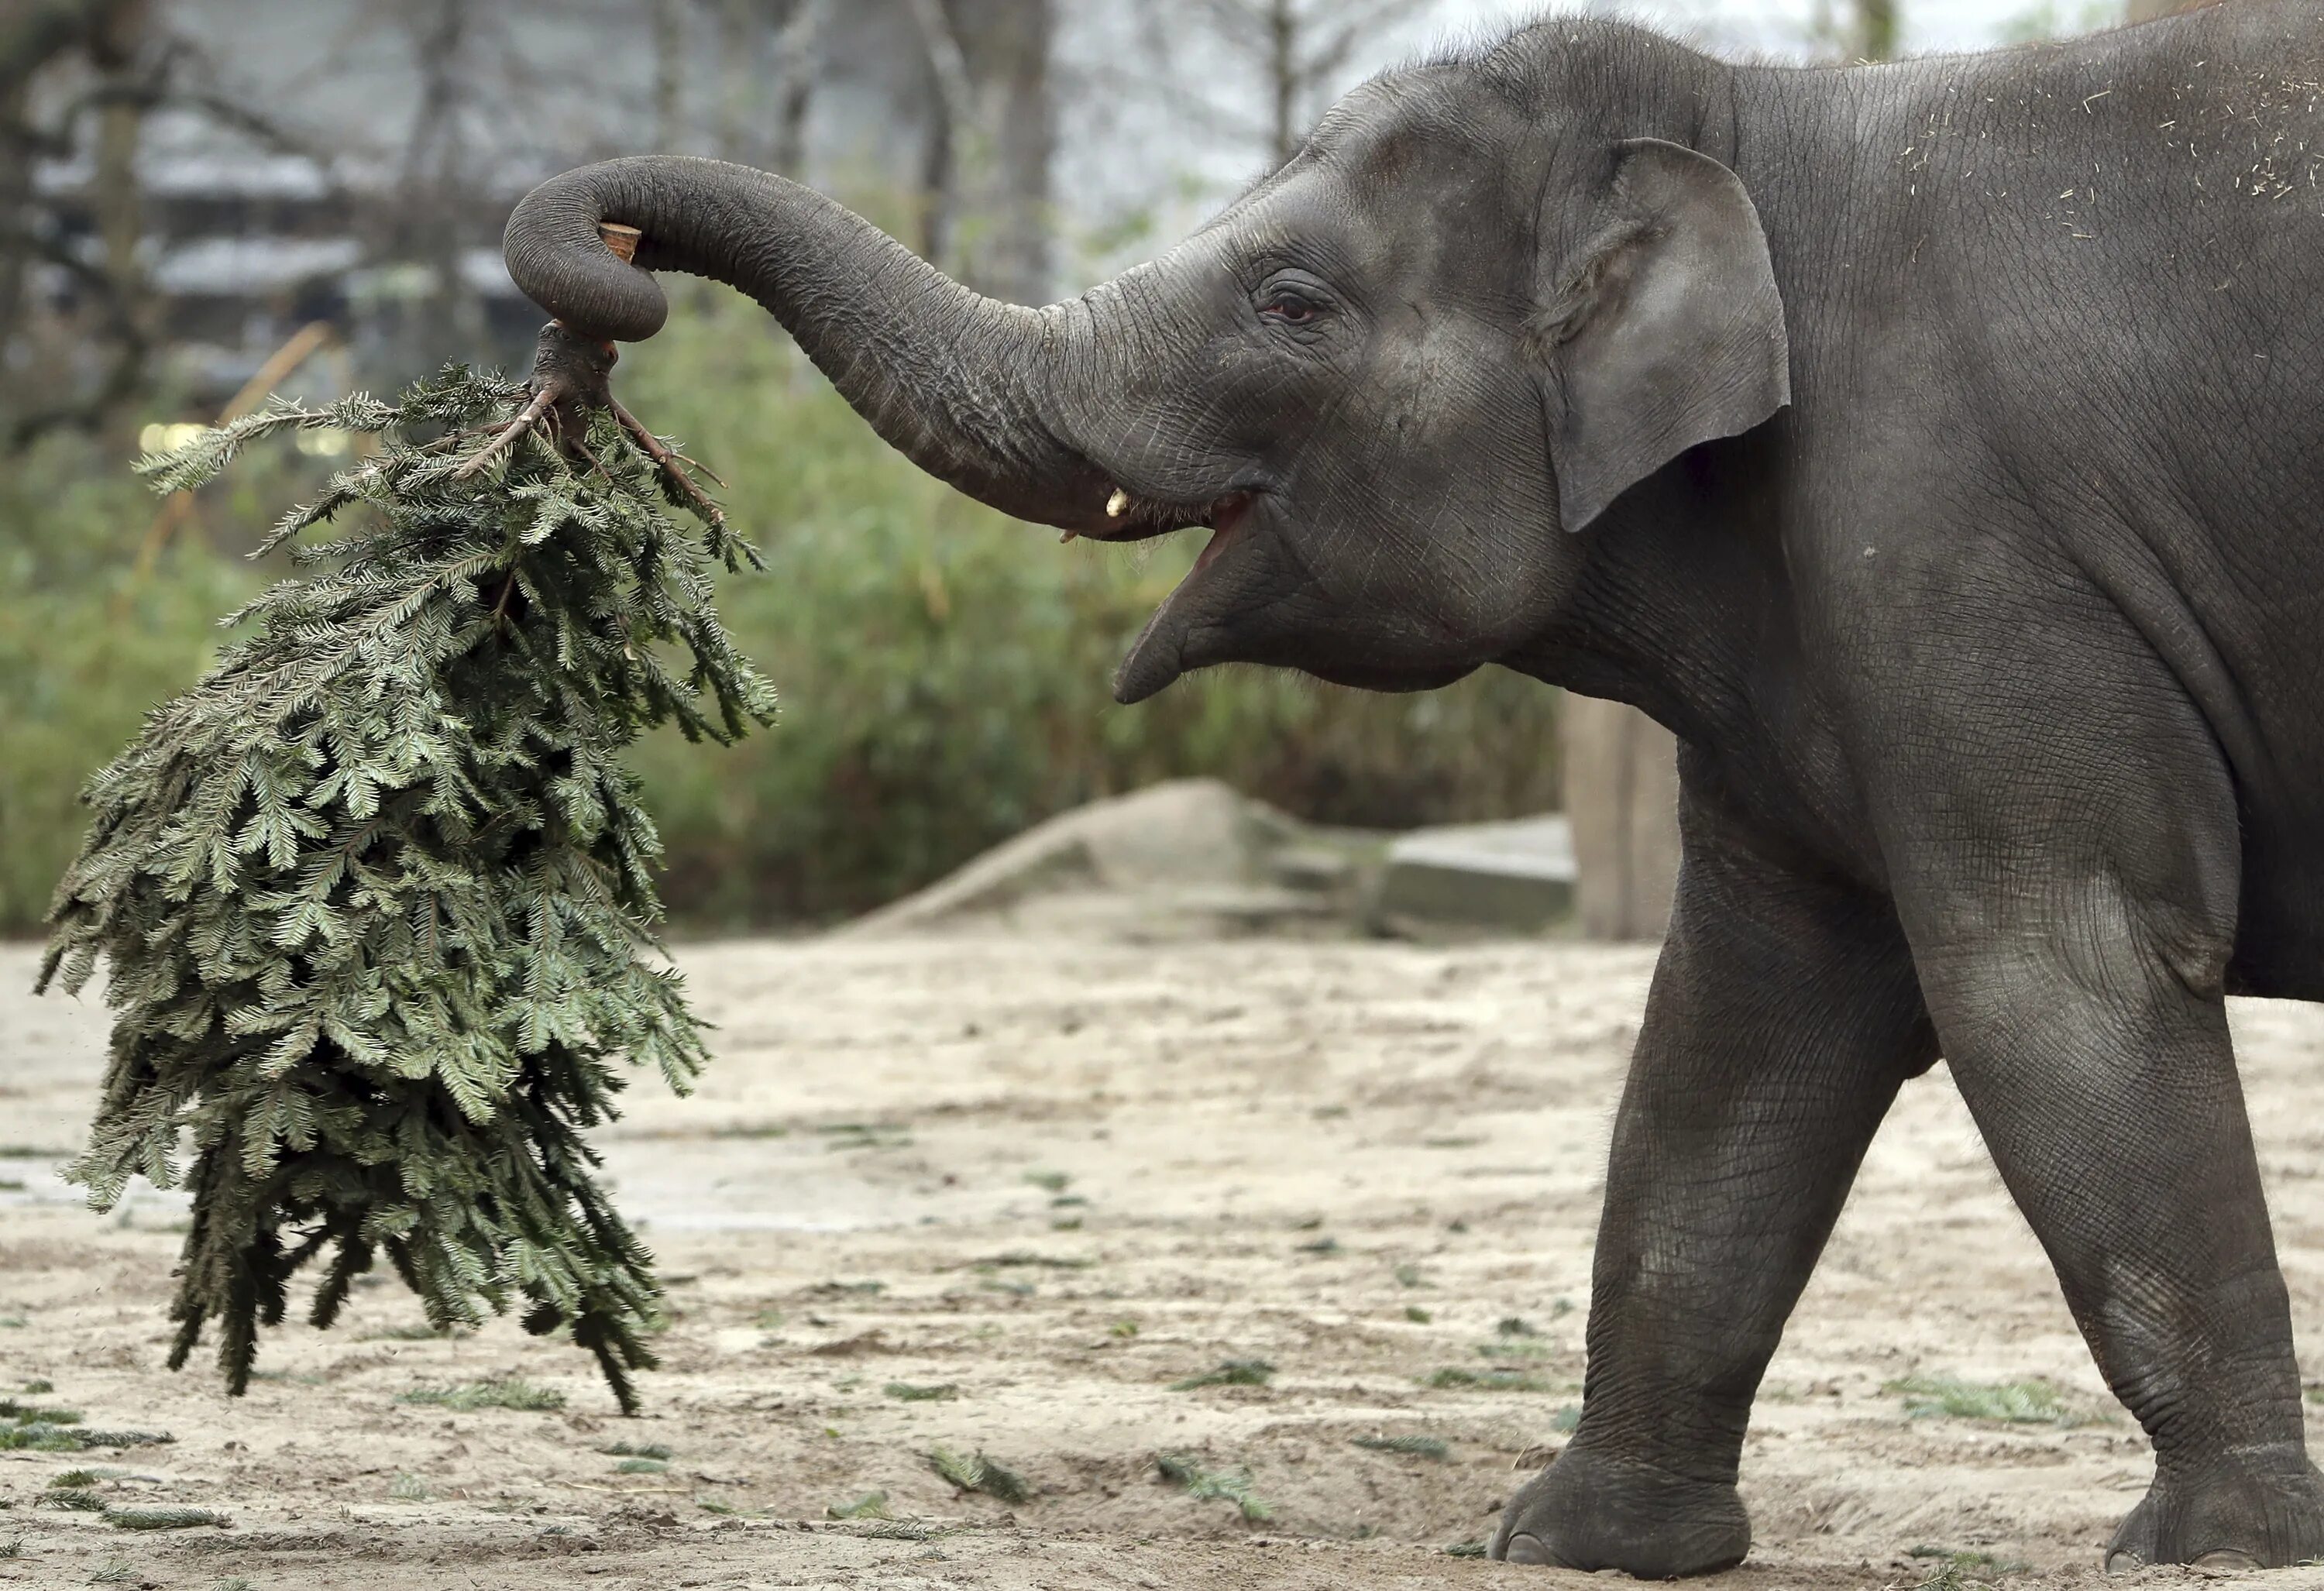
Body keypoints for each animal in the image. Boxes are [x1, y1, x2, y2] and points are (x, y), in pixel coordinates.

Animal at [500, 0, 2324, 1561]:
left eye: (1293, 304)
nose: (610, 282)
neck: (1757, 124)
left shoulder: (1973, 555)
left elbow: (2050, 977)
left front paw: (2213, 1545)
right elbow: (1739, 1025)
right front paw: (1576, 1540)